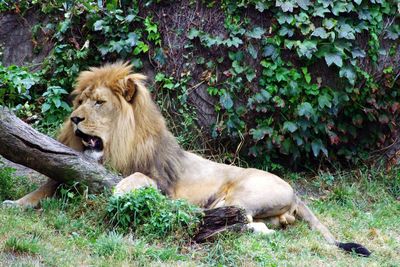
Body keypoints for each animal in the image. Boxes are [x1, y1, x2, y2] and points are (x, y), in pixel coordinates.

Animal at [4, 62, 370, 258]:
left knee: (250, 224)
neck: (116, 146)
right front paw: (15, 204)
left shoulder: (159, 181)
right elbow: (43, 188)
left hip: (240, 193)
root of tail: (296, 194)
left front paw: (120, 191)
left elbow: (135, 179)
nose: (74, 119)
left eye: (98, 103)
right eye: (80, 101)